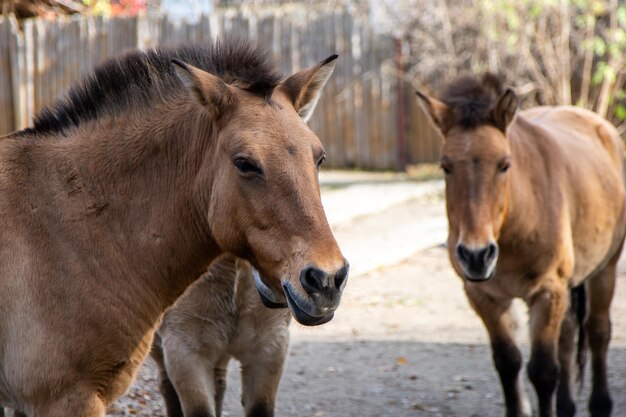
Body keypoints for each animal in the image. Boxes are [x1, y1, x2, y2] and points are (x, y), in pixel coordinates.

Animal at [151, 254, 290, 416]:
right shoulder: (185, 350)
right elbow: (200, 410)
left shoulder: (269, 345)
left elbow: (260, 408)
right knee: (166, 384)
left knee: (218, 385)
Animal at [414, 73, 624, 414]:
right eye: (446, 166)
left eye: (504, 164)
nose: (476, 256)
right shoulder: (484, 296)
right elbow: (508, 362)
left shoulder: (547, 292)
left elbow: (543, 371)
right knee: (568, 334)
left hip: (605, 270)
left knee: (597, 331)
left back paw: (600, 404)